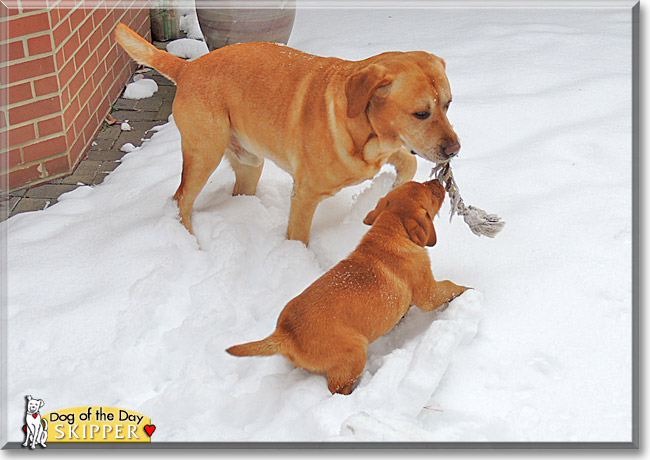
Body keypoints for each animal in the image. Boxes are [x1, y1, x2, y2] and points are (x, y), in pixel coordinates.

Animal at [114, 22, 458, 244]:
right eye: (421, 113)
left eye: (448, 104)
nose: (455, 150)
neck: (362, 132)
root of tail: (188, 67)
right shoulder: (304, 196)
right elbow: (299, 239)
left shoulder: (389, 150)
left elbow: (409, 163)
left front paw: (392, 189)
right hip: (204, 153)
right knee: (181, 200)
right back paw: (188, 241)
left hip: (250, 163)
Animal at [225, 180, 468, 396]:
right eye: (429, 192)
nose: (438, 180)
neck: (390, 230)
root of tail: (285, 333)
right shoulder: (428, 293)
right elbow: (449, 287)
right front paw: (468, 291)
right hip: (355, 353)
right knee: (338, 388)